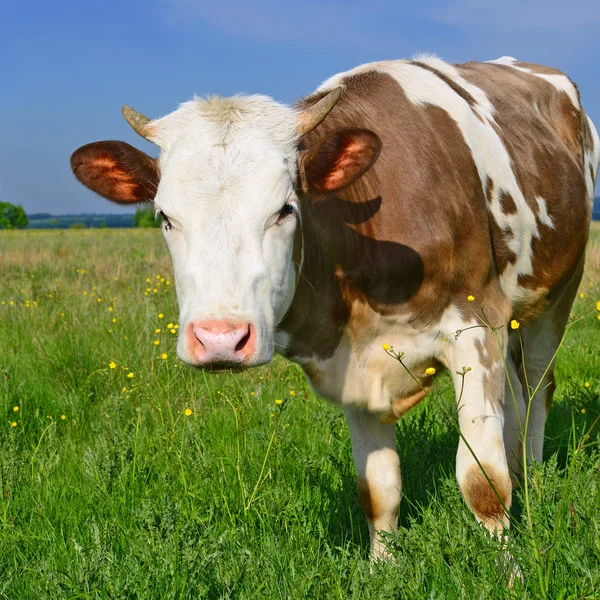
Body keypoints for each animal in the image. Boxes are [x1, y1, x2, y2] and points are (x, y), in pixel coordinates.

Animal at [69, 54, 596, 560]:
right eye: (165, 216)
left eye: (285, 210)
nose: (220, 339)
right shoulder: (356, 364)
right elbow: (378, 491)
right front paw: (383, 568)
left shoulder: (475, 326)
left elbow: (483, 482)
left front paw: (511, 571)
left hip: (557, 293)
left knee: (535, 391)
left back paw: (531, 477)